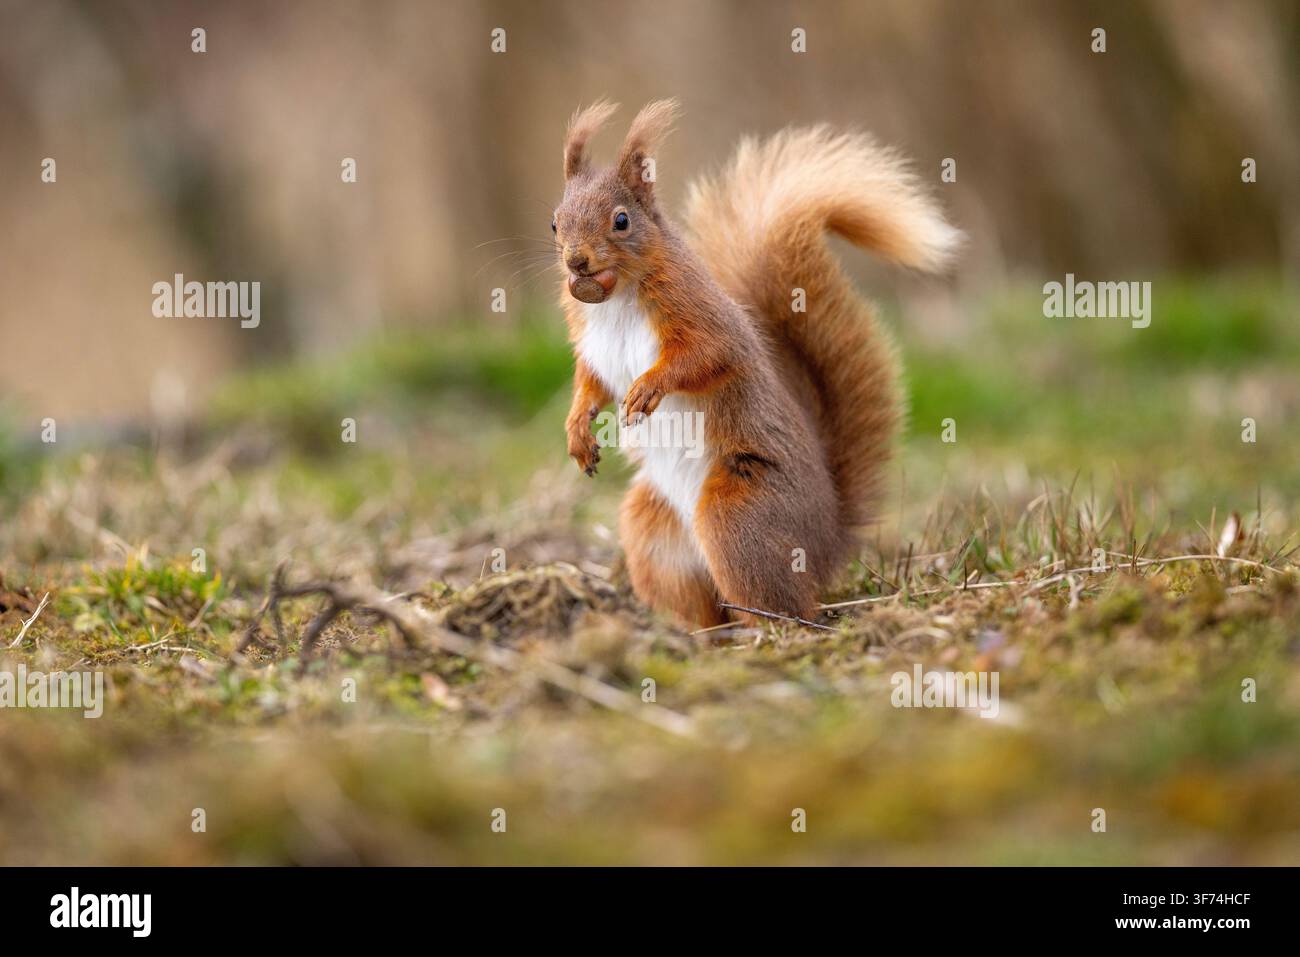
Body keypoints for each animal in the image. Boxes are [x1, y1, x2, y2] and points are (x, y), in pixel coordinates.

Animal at [554, 99, 961, 627]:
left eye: (621, 220)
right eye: (554, 222)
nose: (576, 262)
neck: (617, 297)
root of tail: (827, 542)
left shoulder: (701, 314)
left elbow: (707, 357)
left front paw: (647, 388)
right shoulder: (593, 346)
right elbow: (591, 386)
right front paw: (578, 432)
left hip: (739, 514)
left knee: (784, 606)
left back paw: (759, 630)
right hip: (653, 530)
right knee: (705, 601)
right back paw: (695, 632)